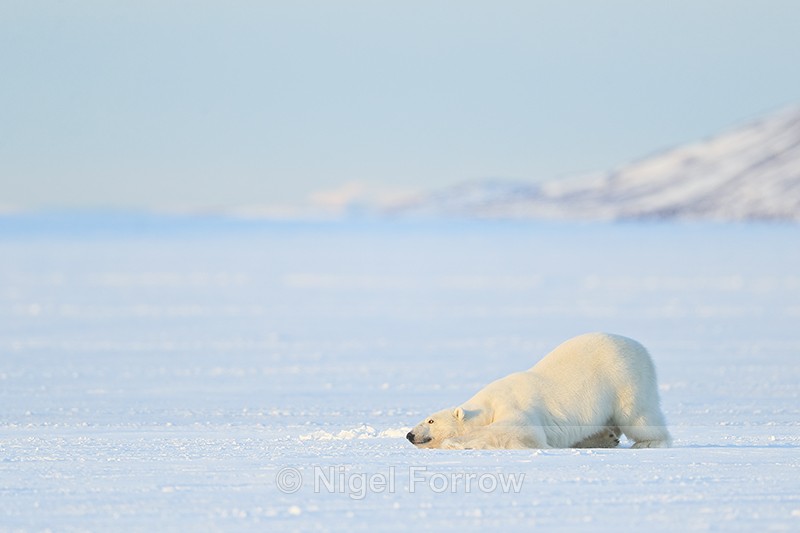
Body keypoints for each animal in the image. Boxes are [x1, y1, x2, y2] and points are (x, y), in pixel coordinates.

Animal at [406, 332, 671, 449]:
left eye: (430, 420)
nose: (409, 434)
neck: (488, 406)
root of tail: (640, 346)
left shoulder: (513, 405)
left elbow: (521, 430)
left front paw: (454, 442)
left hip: (624, 378)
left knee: (639, 415)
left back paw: (648, 442)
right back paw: (604, 437)